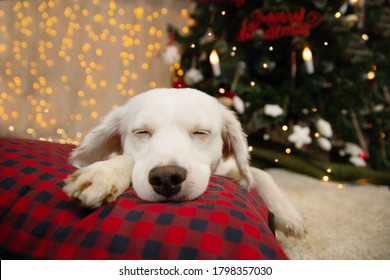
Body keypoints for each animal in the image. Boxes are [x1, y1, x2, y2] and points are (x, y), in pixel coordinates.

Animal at [64, 87, 304, 236]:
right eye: (141, 132)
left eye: (201, 132)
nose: (166, 178)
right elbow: (125, 159)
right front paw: (103, 174)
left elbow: (261, 173)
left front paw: (287, 212)